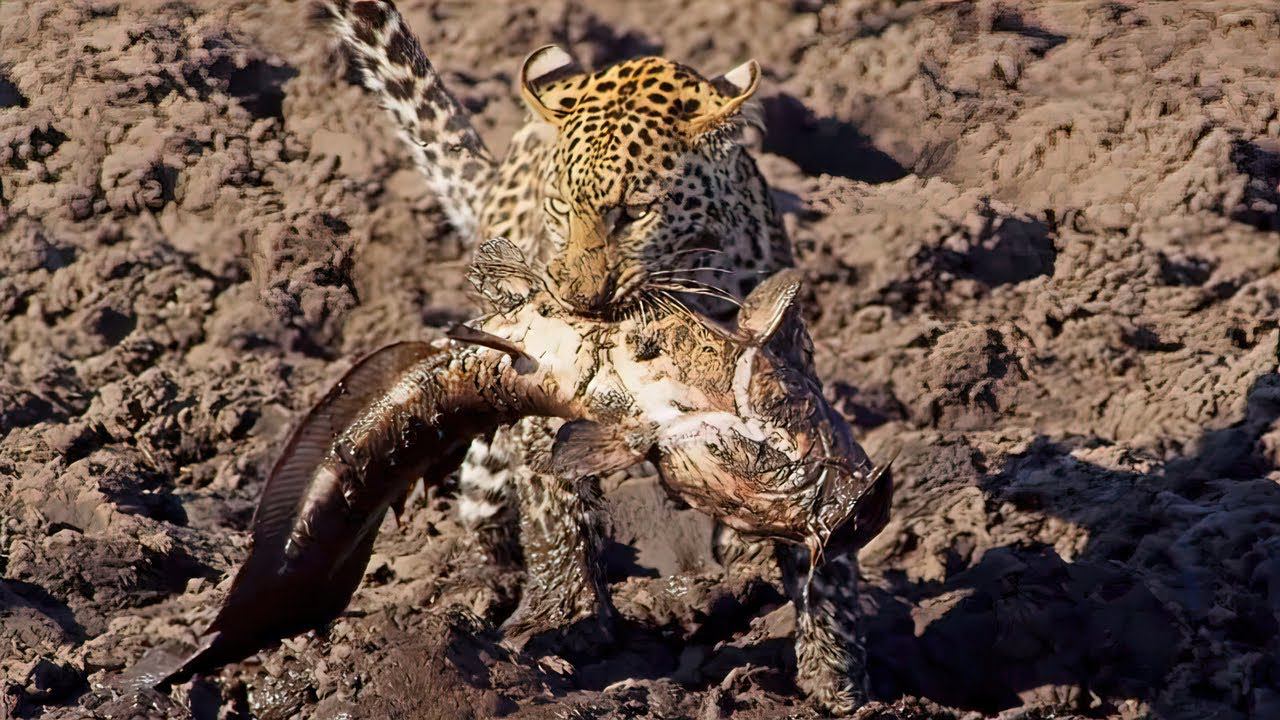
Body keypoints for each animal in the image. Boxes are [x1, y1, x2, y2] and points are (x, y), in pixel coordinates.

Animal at [312, 0, 870, 707]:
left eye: (633, 212)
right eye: (560, 206)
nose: (576, 296)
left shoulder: (789, 369)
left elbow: (821, 540)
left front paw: (834, 665)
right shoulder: (537, 388)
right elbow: (555, 509)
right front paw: (567, 619)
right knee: (483, 492)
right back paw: (480, 580)